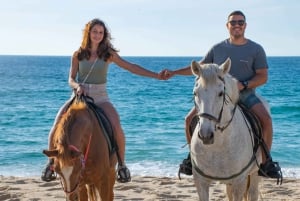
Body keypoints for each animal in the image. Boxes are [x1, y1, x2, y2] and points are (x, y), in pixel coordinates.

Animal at [190, 57, 262, 200]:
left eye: (220, 93)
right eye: (195, 93)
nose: (206, 135)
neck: (218, 146)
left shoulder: (239, 182)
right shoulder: (201, 181)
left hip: (254, 173)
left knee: (253, 193)